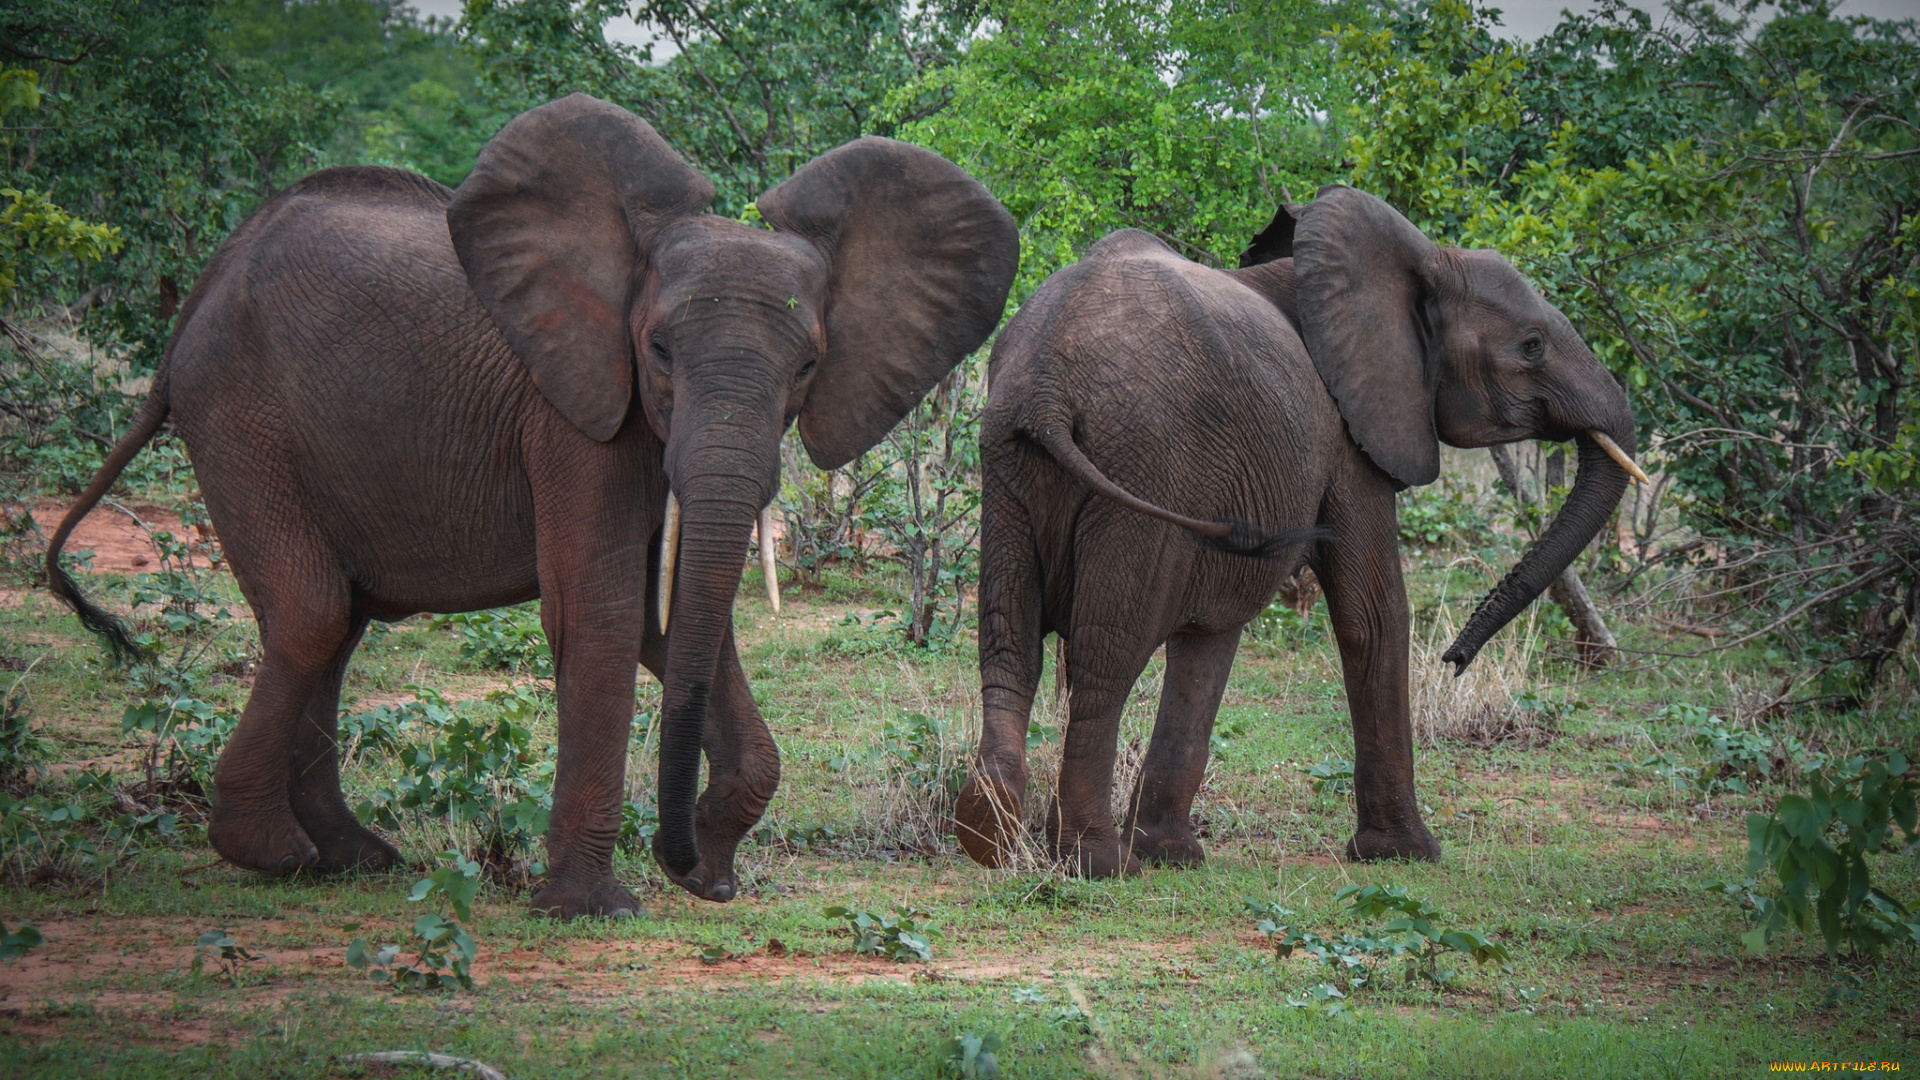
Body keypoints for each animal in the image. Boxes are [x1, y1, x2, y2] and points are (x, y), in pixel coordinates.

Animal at [45, 94, 1021, 914]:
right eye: (656, 350)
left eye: (809, 366)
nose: (682, 860)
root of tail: (200, 295)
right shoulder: (570, 415)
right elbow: (605, 611)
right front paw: (593, 908)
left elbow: (674, 619)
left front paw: (710, 866)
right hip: (240, 415)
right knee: (313, 613)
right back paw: (275, 855)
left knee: (337, 623)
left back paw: (353, 858)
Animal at [952, 184, 1643, 876]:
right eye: (1532, 346)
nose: (1455, 660)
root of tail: (1046, 387)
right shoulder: (1350, 433)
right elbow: (1372, 613)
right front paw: (1405, 855)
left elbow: (1212, 632)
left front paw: (1174, 856)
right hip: (1143, 461)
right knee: (1106, 657)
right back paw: (1095, 864)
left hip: (1009, 461)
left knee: (1009, 640)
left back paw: (988, 832)